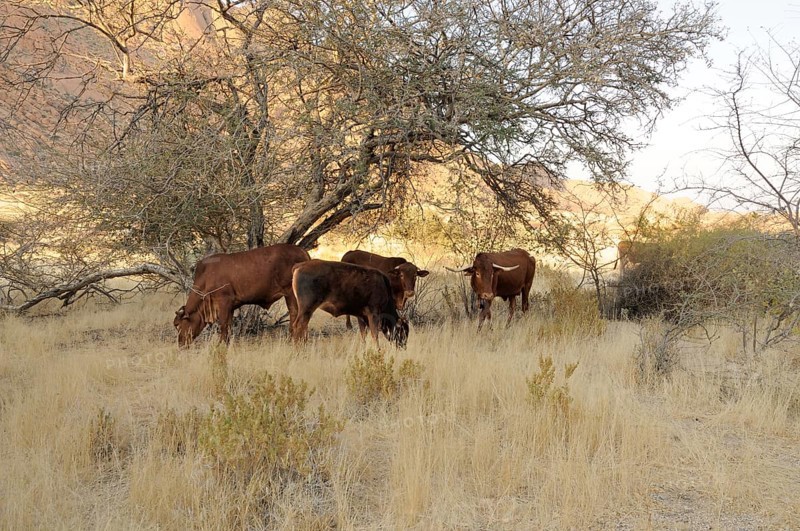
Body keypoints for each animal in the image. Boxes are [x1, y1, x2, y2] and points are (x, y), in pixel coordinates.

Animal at [173, 244, 310, 347]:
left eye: (177, 325)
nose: (180, 344)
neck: (206, 277)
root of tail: (301, 250)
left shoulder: (224, 302)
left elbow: (223, 326)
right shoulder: (230, 307)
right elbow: (228, 327)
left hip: (291, 294)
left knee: (296, 316)